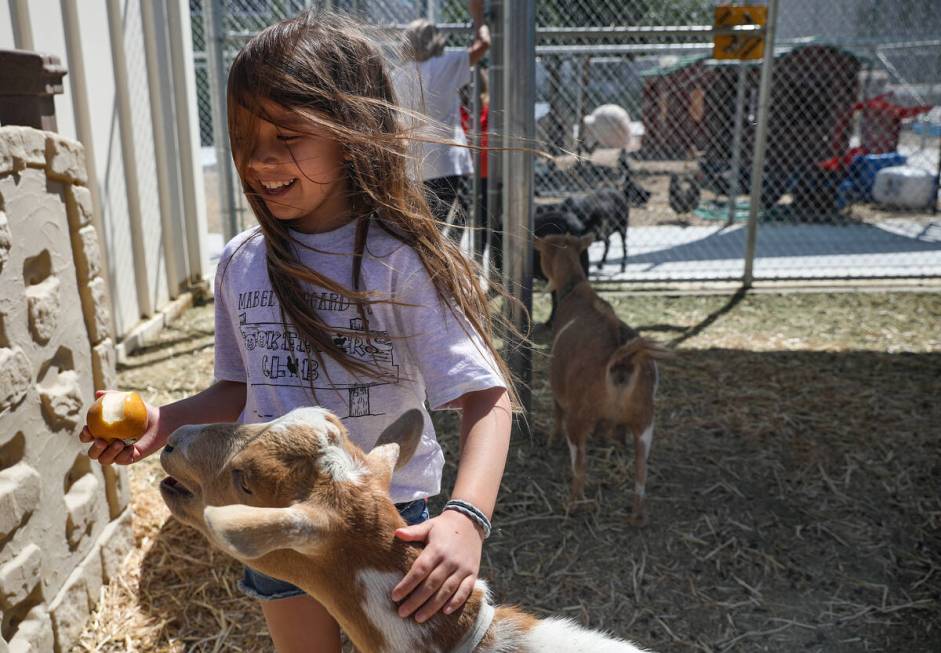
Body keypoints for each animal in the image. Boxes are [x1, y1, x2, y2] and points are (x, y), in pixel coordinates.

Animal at [532, 234, 672, 524]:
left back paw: (573, 504)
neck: (575, 288)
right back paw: (637, 514)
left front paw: (551, 440)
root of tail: (622, 359)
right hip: (645, 419)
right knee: (641, 469)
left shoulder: (558, 387)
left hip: (579, 418)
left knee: (580, 465)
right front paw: (611, 441)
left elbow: (556, 411)